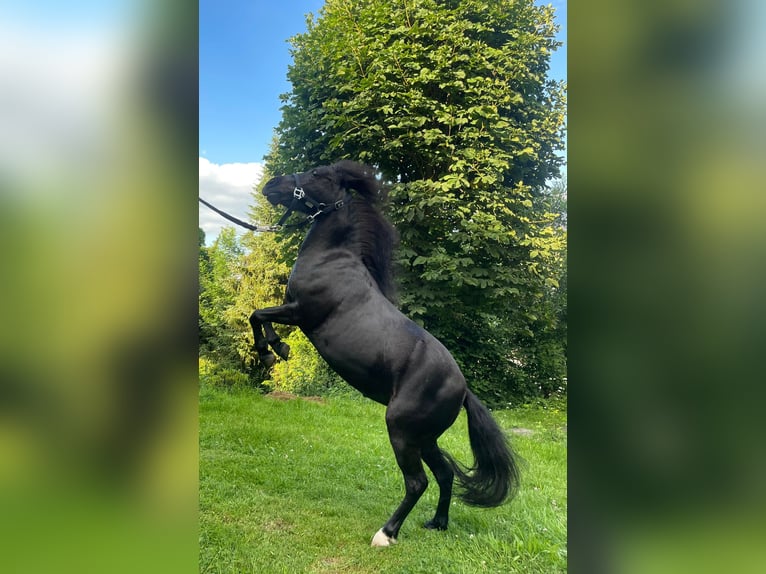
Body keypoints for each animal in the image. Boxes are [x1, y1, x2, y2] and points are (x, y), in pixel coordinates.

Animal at [250, 160, 519, 546]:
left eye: (317, 174)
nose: (272, 184)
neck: (334, 261)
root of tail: (463, 390)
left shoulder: (300, 312)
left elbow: (258, 314)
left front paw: (272, 350)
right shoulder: (294, 311)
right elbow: (258, 314)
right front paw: (276, 349)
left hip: (402, 432)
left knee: (417, 482)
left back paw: (386, 534)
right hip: (425, 438)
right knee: (445, 474)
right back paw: (437, 523)